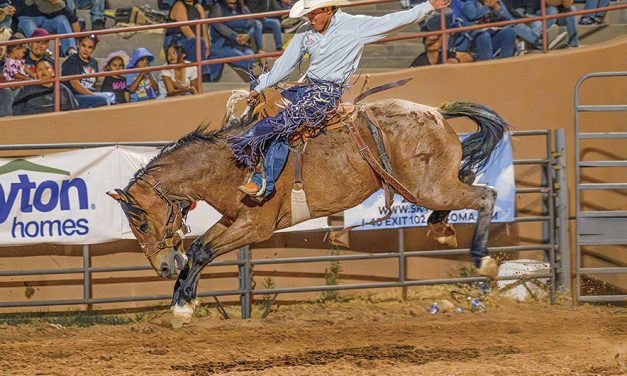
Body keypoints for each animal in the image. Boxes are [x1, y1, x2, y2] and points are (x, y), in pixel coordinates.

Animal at [108, 89, 510, 328]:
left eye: (140, 225)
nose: (161, 267)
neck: (231, 163)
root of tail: (434, 112)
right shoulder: (233, 218)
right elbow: (196, 250)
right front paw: (181, 305)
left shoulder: (256, 225)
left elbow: (203, 251)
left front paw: (181, 306)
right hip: (429, 187)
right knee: (468, 182)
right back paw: (441, 227)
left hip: (429, 188)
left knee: (484, 196)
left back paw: (483, 262)